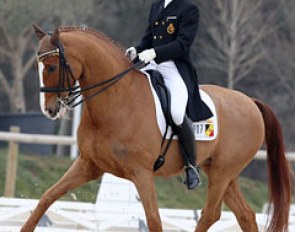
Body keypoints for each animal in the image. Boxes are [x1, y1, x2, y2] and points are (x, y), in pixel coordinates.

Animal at [22, 24, 292, 231]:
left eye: (51, 67)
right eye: (38, 66)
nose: (49, 110)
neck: (117, 101)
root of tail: (251, 102)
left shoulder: (141, 173)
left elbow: (153, 219)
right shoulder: (88, 165)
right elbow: (47, 197)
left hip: (222, 173)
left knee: (210, 214)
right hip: (223, 172)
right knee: (244, 215)